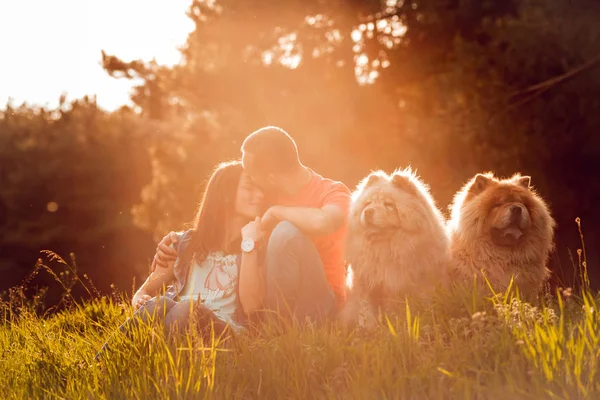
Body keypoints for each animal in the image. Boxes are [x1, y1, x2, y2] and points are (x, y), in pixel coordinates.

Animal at [340, 167, 452, 326]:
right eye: (368, 203)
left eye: (389, 205)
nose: (368, 211)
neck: (387, 250)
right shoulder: (367, 284)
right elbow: (366, 310)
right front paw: (369, 327)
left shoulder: (423, 281)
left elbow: (423, 303)